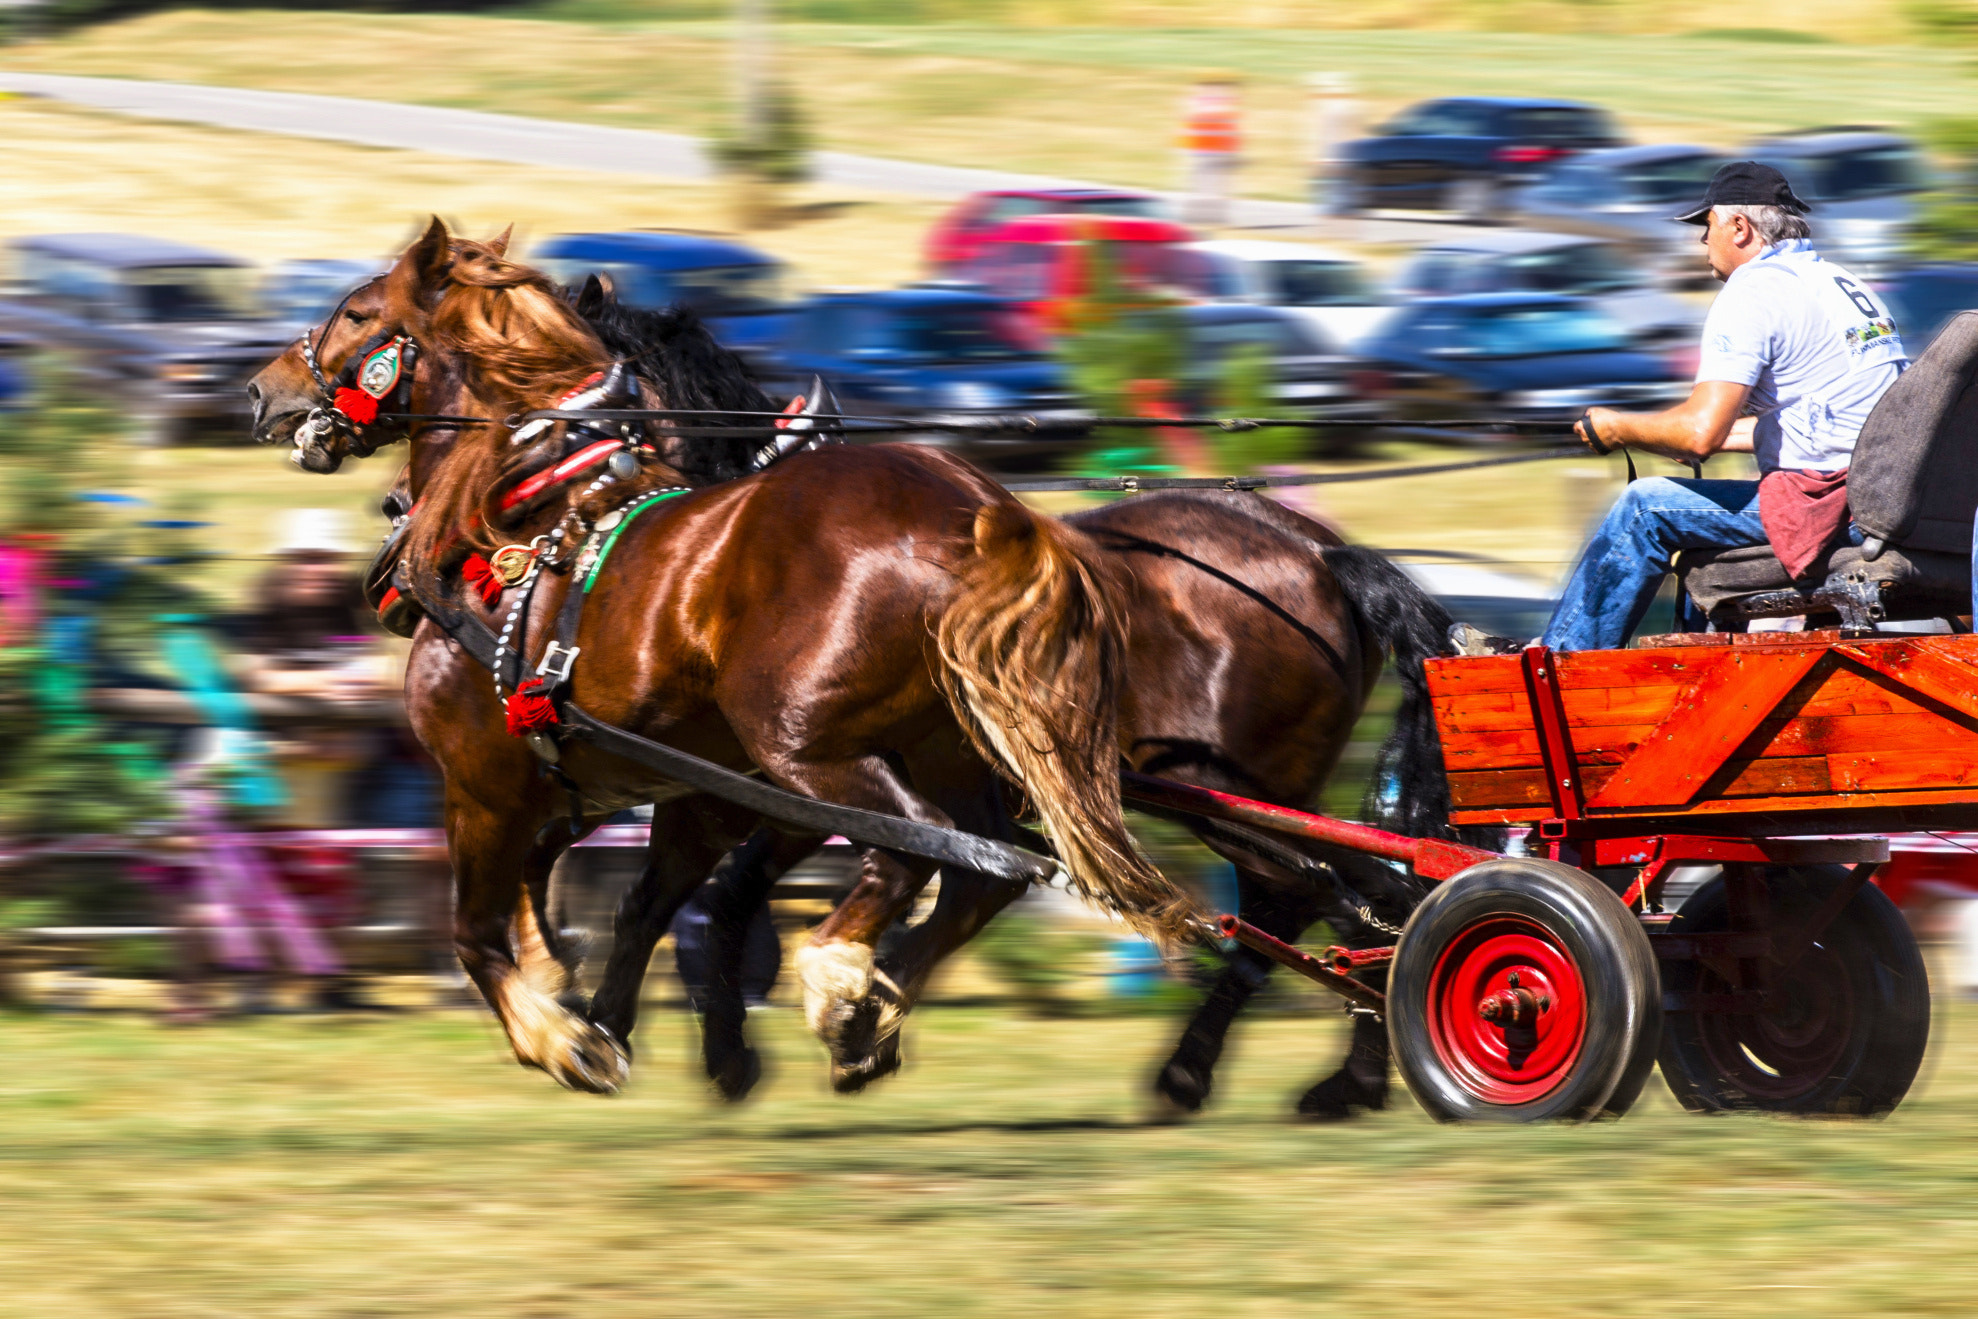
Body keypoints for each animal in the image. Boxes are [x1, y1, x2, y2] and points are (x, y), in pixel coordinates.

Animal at [239, 219, 1178, 1091]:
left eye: (357, 311)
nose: (261, 389)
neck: (526, 504)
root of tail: (977, 516)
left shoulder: (485, 782)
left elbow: (478, 932)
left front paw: (566, 1038)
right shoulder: (654, 787)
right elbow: (624, 896)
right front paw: (598, 1008)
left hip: (806, 749)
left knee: (922, 851)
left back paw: (838, 983)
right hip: (938, 747)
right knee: (984, 869)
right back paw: (866, 1017)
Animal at [577, 296, 1463, 1115]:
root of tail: (1321, 553)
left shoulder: (806, 774)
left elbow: (728, 886)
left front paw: (815, 1022)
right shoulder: (808, 785)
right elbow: (733, 889)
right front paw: (745, 1043)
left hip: (1225, 792)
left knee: (1311, 897)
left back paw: (1220, 1068)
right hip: (1258, 798)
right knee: (1363, 896)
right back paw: (1337, 1071)